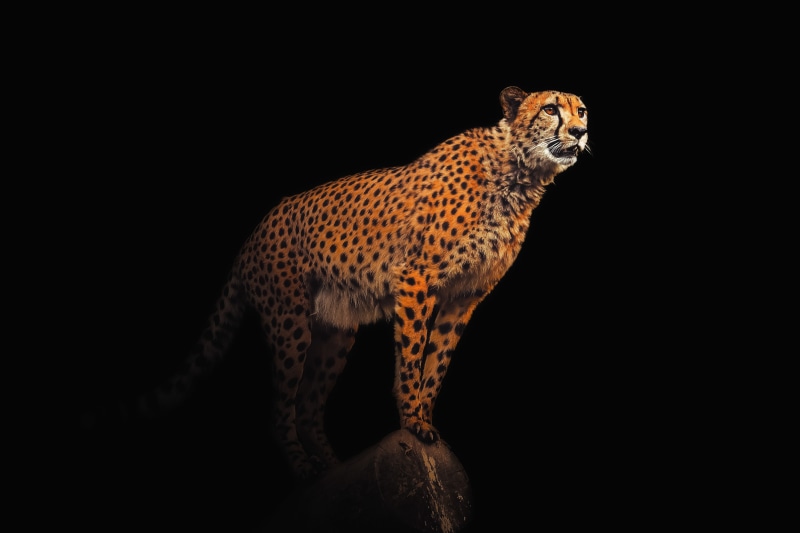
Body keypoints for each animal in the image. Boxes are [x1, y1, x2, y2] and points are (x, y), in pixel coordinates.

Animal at [93, 86, 589, 481]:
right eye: (551, 109)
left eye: (582, 110)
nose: (581, 132)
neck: (519, 174)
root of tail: (255, 232)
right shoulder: (417, 278)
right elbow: (412, 356)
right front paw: (412, 420)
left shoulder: (464, 296)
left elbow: (438, 363)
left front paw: (426, 421)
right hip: (290, 321)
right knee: (282, 410)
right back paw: (304, 469)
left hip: (334, 334)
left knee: (309, 408)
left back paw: (335, 468)